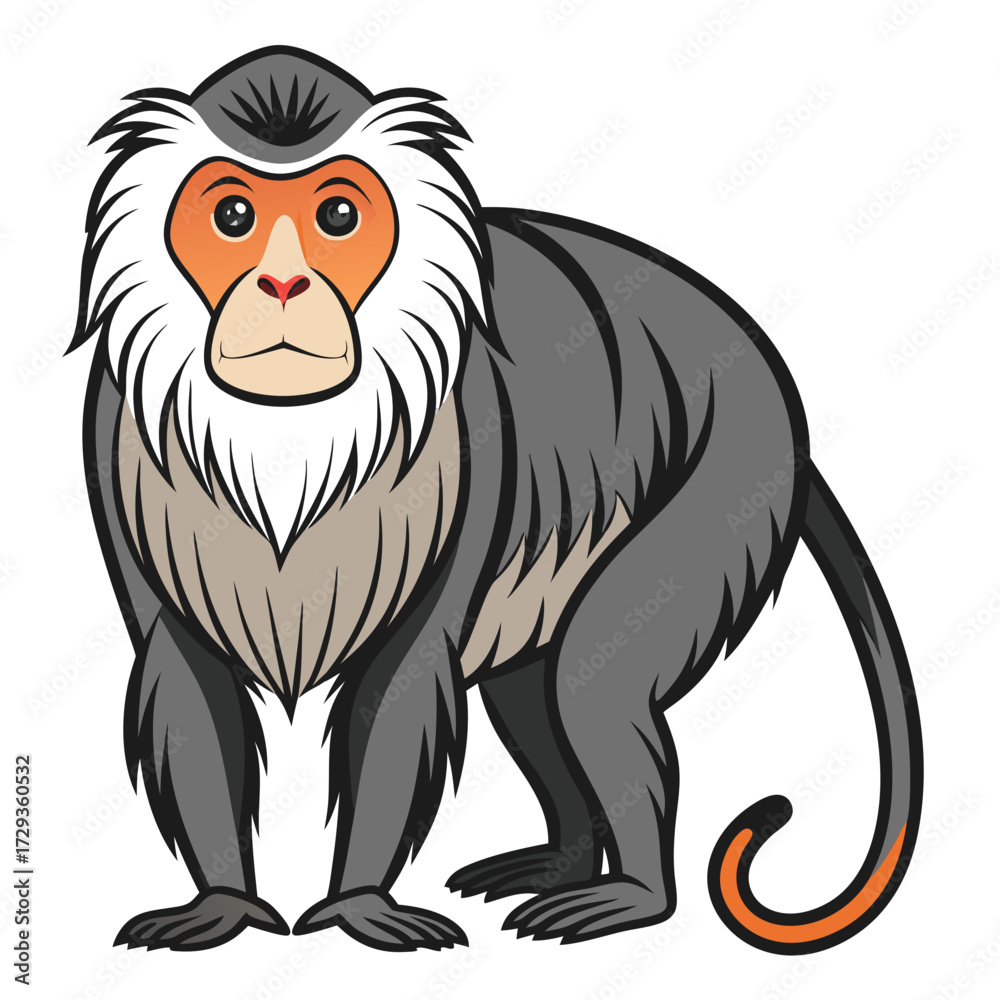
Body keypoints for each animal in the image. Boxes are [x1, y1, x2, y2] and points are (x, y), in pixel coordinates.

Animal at [70, 46, 922, 953]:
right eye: (233, 216)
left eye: (338, 215)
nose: (283, 283)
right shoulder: (117, 428)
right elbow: (187, 678)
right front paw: (225, 906)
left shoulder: (467, 437)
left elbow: (403, 685)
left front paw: (359, 907)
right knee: (535, 690)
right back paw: (563, 863)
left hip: (733, 467)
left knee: (590, 678)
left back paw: (635, 895)